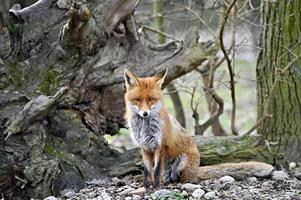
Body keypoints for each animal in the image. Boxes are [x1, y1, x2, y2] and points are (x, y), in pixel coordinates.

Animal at [123, 68, 274, 188]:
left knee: (185, 179)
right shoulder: (145, 147)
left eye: (151, 99)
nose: (145, 113)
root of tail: (196, 169)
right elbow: (147, 170)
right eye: (137, 100)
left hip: (182, 161)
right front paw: (146, 186)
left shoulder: (160, 146)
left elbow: (155, 171)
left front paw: (155, 187)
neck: (144, 127)